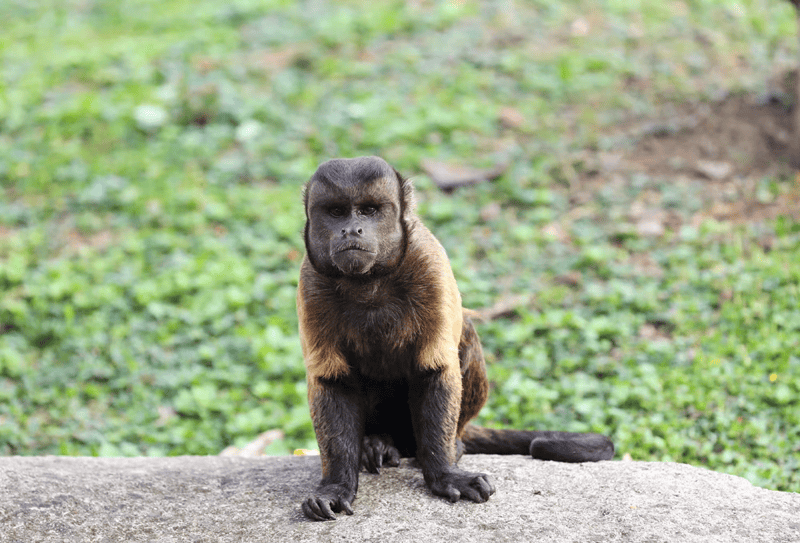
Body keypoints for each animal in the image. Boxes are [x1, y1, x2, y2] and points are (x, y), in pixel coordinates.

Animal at [294, 155, 612, 520]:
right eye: (335, 212)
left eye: (369, 211)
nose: (351, 229)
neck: (368, 283)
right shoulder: (311, 282)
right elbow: (332, 381)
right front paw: (336, 485)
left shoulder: (429, 264)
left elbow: (436, 369)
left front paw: (445, 474)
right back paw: (377, 441)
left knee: (466, 334)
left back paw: (443, 445)